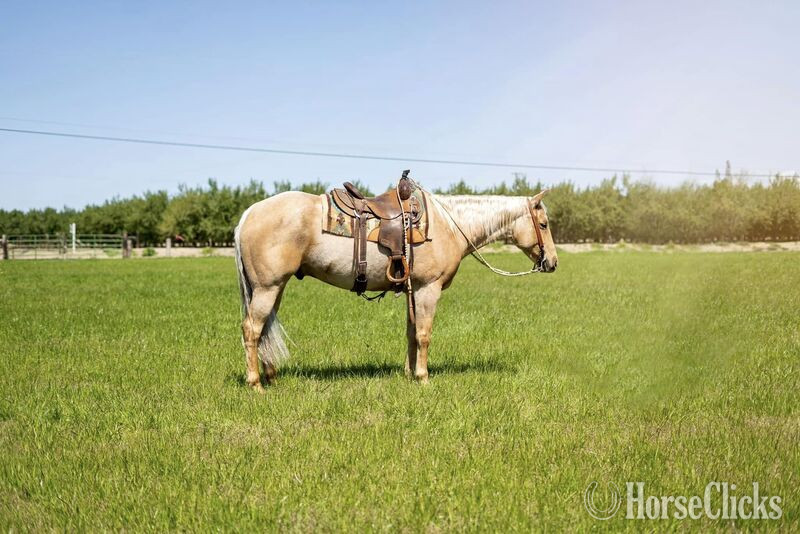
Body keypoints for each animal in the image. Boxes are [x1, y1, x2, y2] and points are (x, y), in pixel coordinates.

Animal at [234, 187, 558, 391]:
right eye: (543, 224)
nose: (552, 262)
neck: (448, 225)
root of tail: (248, 213)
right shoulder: (428, 289)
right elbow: (424, 334)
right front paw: (423, 377)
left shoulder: (413, 291)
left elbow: (411, 333)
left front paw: (408, 374)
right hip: (267, 288)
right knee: (252, 329)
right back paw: (256, 384)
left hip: (274, 288)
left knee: (264, 330)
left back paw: (272, 378)